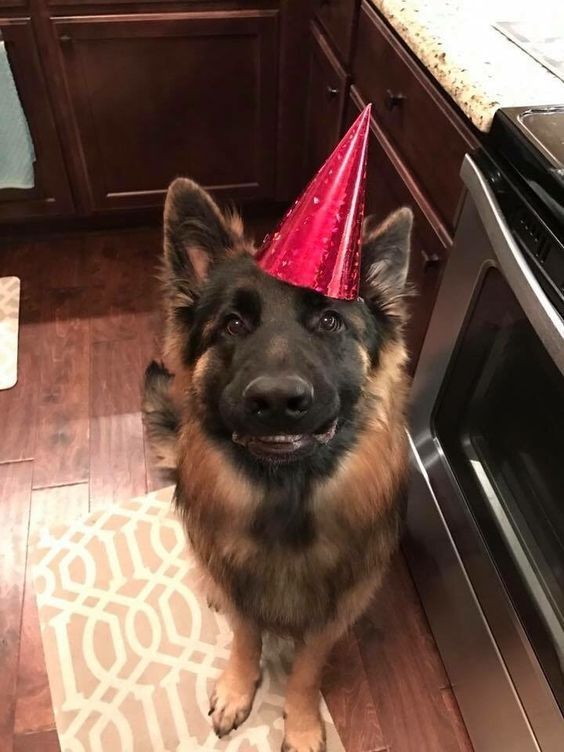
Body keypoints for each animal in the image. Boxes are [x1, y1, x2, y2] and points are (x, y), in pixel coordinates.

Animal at [143, 178, 412, 752]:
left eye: (330, 321)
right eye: (233, 324)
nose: (277, 400)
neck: (285, 503)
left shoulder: (332, 615)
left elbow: (308, 670)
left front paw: (304, 723)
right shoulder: (244, 591)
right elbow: (246, 637)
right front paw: (238, 688)